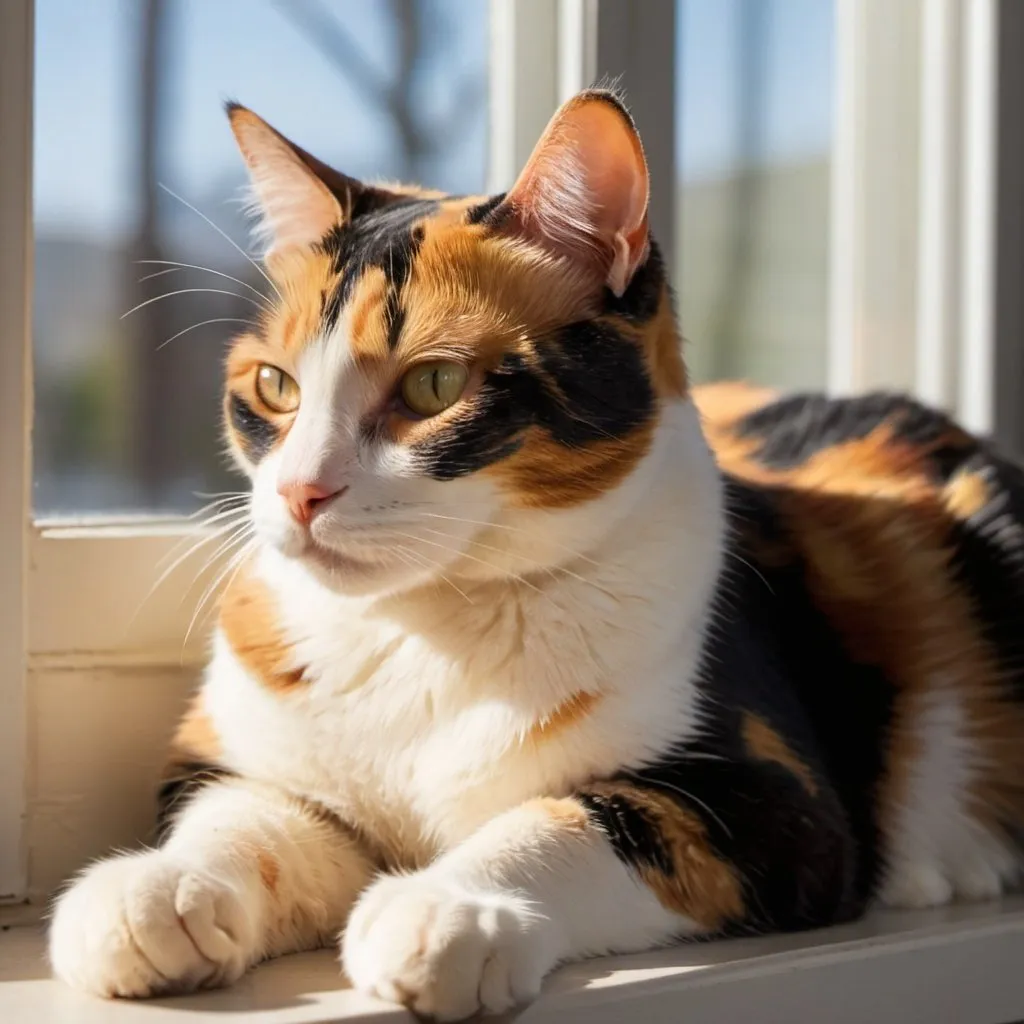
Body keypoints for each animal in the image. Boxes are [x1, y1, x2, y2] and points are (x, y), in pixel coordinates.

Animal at [48, 92, 1024, 1019]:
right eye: (273, 386)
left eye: (434, 384)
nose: (298, 492)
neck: (429, 635)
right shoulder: (239, 766)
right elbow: (243, 815)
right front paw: (158, 890)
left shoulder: (778, 802)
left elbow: (574, 821)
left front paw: (447, 909)